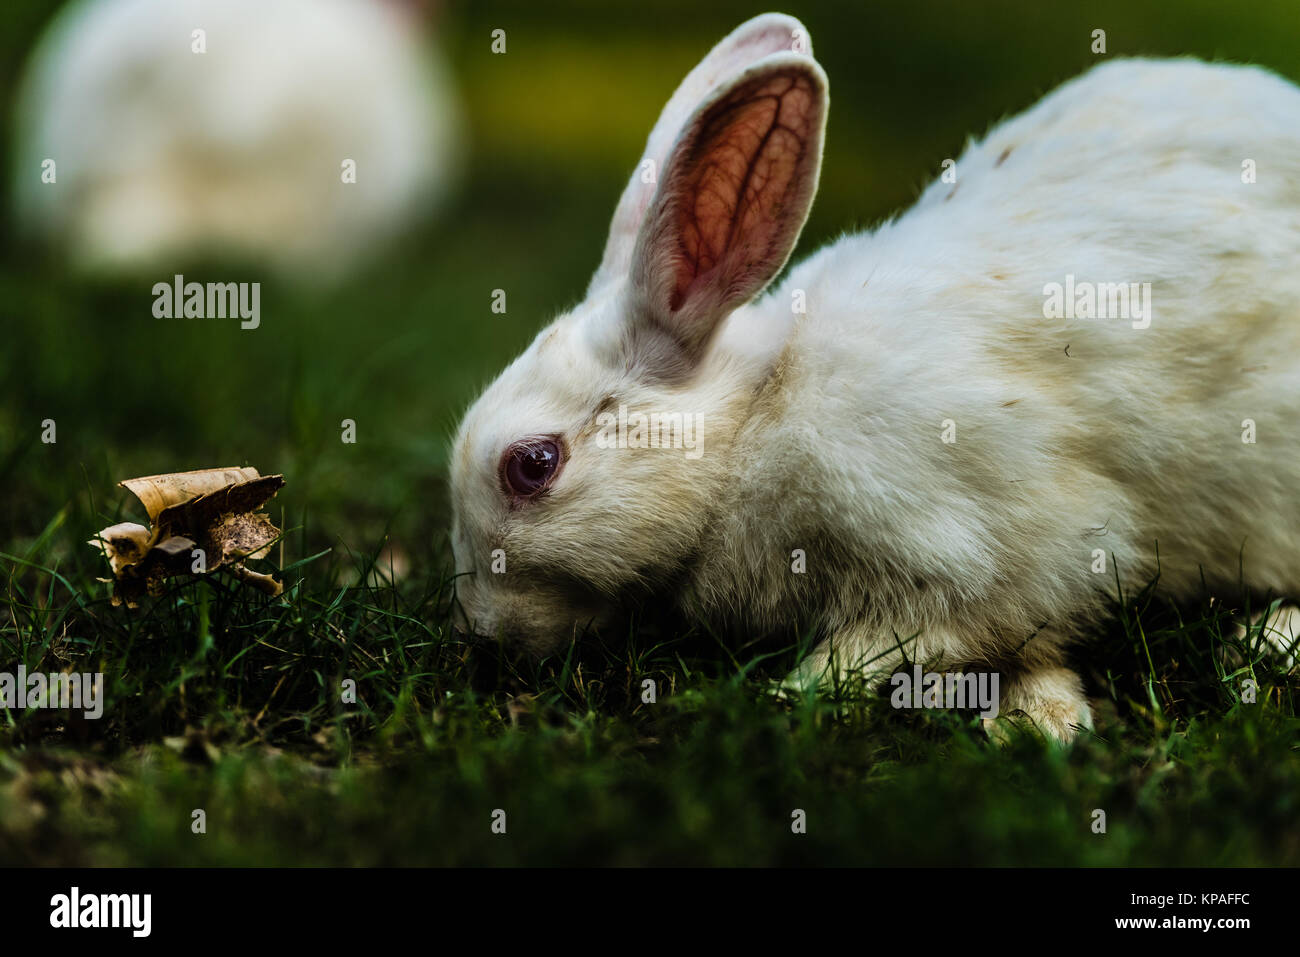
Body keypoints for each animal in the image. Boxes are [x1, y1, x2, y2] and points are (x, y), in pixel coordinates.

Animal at [449, 12, 1300, 741]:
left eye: (533, 464)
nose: (484, 634)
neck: (751, 422)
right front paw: (1041, 715)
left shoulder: (970, 550)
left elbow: (905, 643)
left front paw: (792, 693)